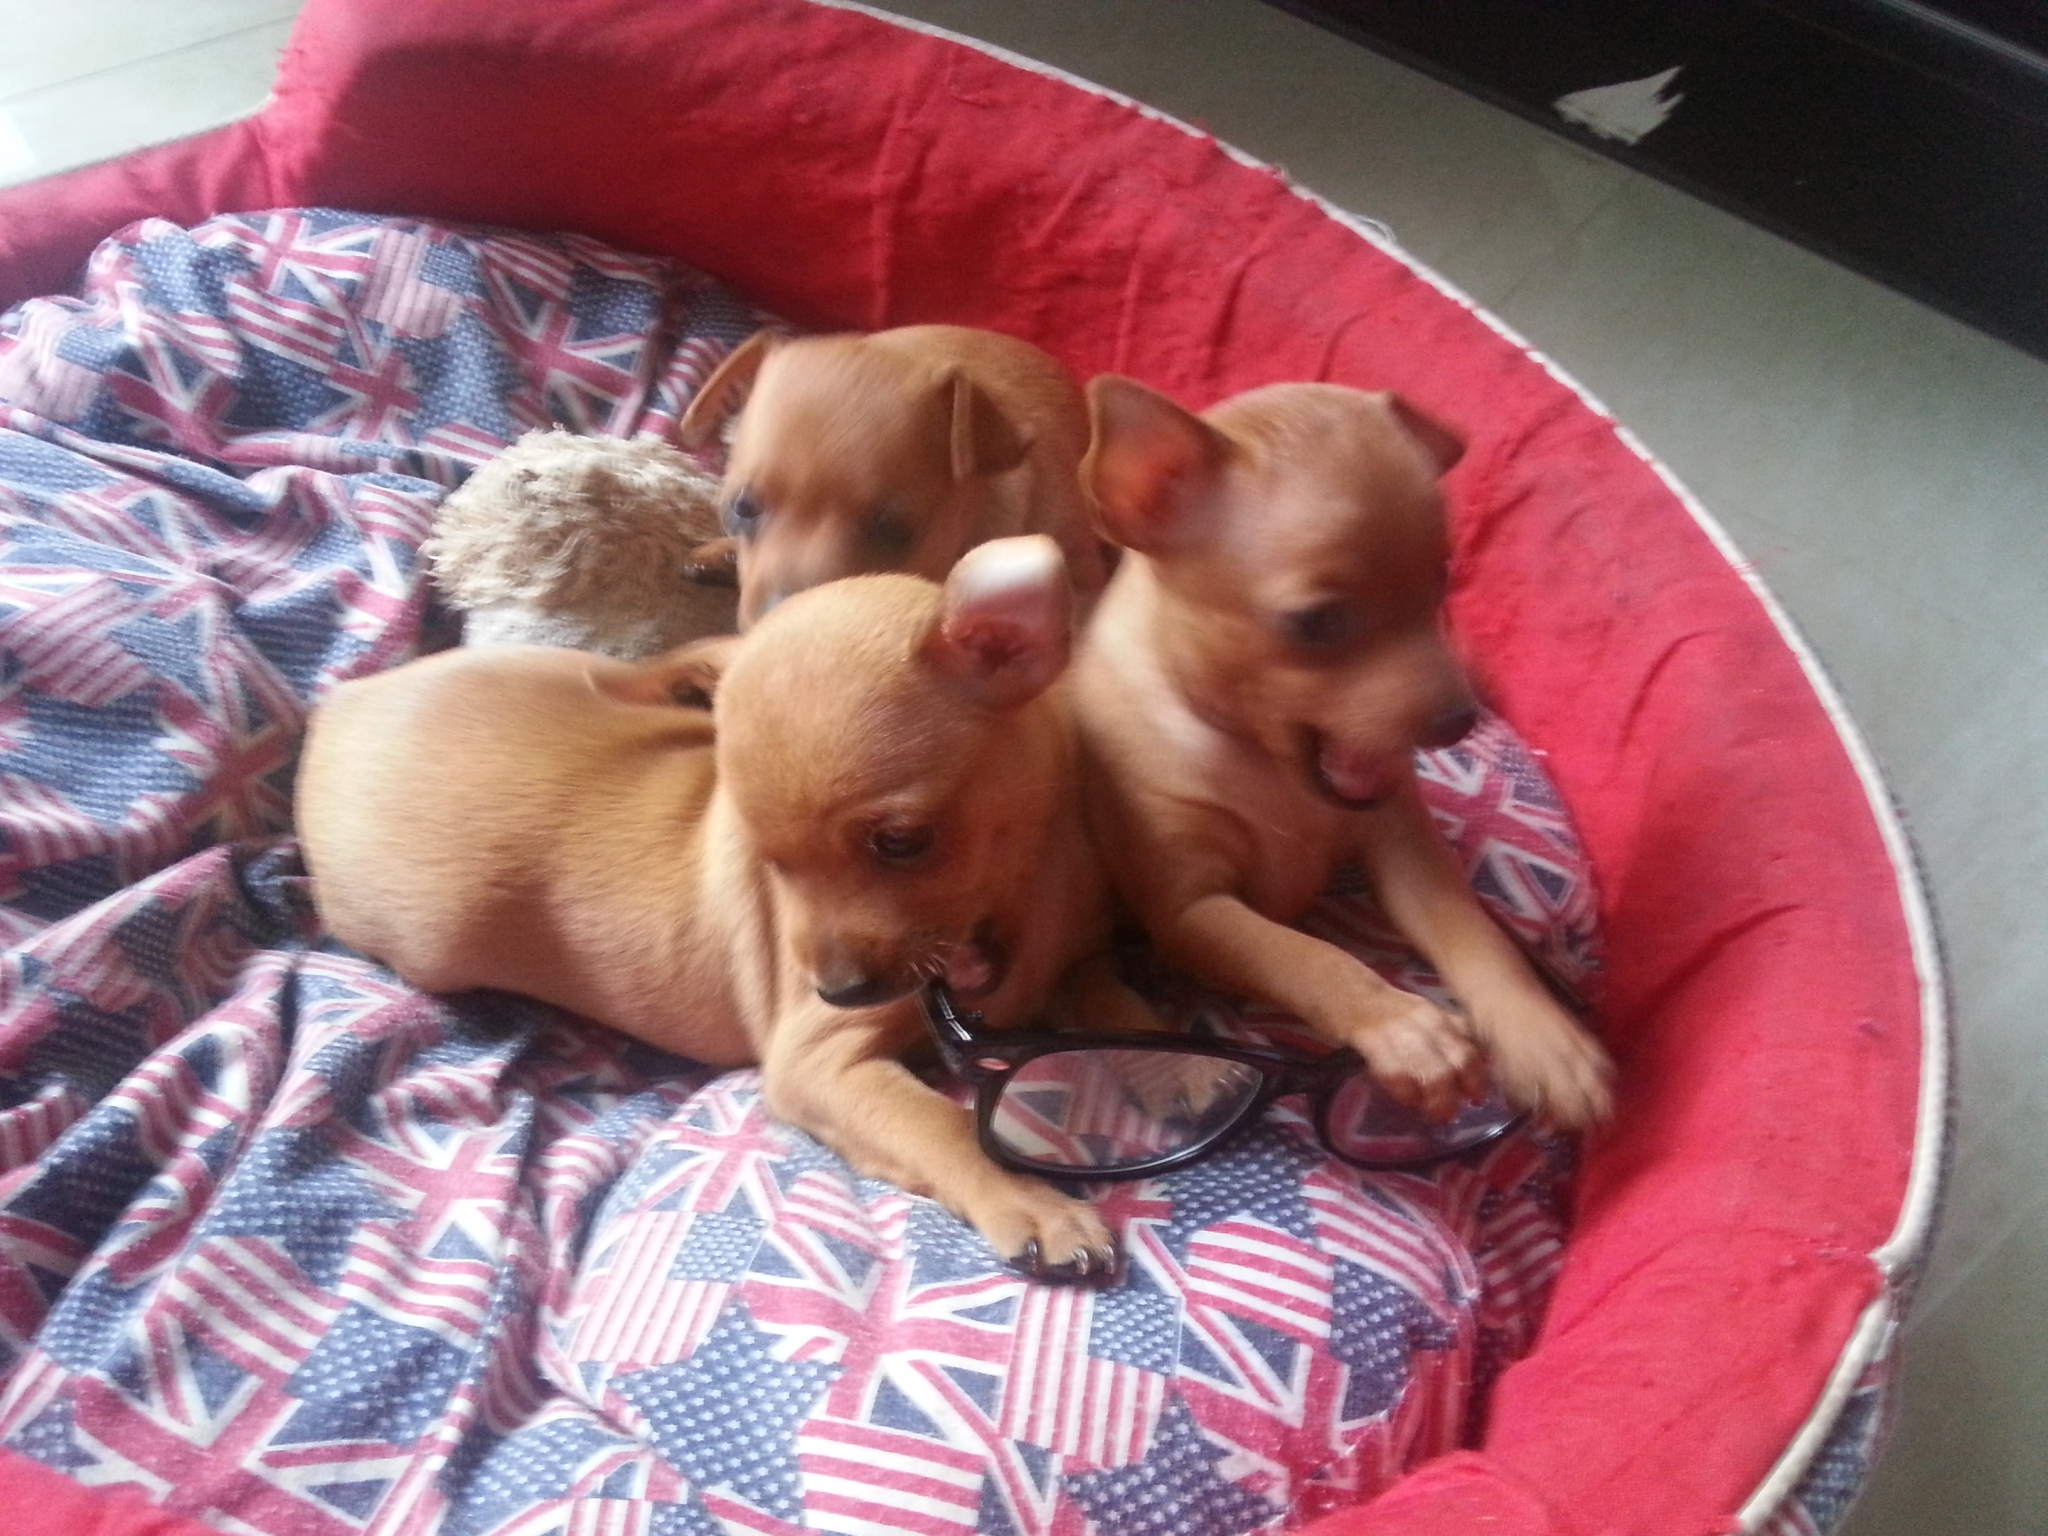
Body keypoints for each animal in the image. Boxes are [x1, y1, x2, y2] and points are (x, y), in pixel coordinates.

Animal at [296, 536, 1144, 1280]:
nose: (837, 990)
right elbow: (944, 1126)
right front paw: (1030, 1202)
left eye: (902, 841)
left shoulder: (1081, 952)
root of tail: (337, 709)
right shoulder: (816, 1063)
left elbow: (1118, 1001)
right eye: (769, 863)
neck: (1013, 903)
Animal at [1071, 376, 1613, 1129]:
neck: (1264, 770)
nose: (1460, 722)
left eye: (1442, 579)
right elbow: (1299, 953)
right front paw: (1403, 1027)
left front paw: (1544, 1037)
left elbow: (1473, 930)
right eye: (1317, 621)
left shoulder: (1405, 844)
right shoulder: (1191, 910)